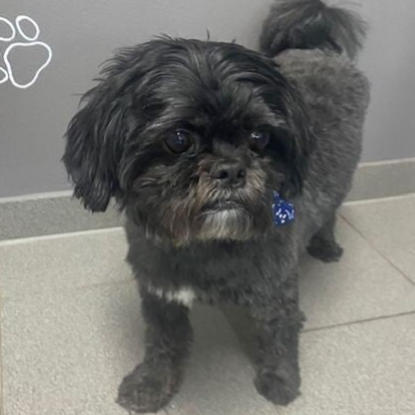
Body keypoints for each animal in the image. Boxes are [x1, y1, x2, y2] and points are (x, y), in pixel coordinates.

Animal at [63, 0, 370, 412]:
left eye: (259, 137)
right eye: (178, 139)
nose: (230, 169)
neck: (203, 242)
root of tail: (314, 49)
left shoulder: (275, 291)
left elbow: (279, 335)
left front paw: (281, 381)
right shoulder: (160, 293)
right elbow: (162, 344)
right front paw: (152, 384)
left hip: (344, 174)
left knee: (331, 208)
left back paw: (325, 243)